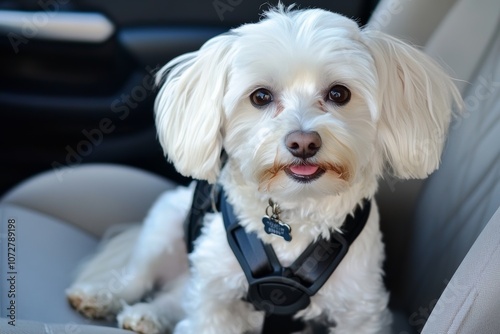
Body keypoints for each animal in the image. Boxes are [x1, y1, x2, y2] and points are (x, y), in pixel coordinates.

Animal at [65, 5, 460, 334]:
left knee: (175, 296)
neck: (295, 214)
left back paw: (148, 315)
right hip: (167, 222)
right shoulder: (214, 298)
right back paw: (101, 297)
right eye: (260, 97)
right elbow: (200, 314)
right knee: (136, 278)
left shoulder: (359, 310)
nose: (303, 142)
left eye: (339, 94)